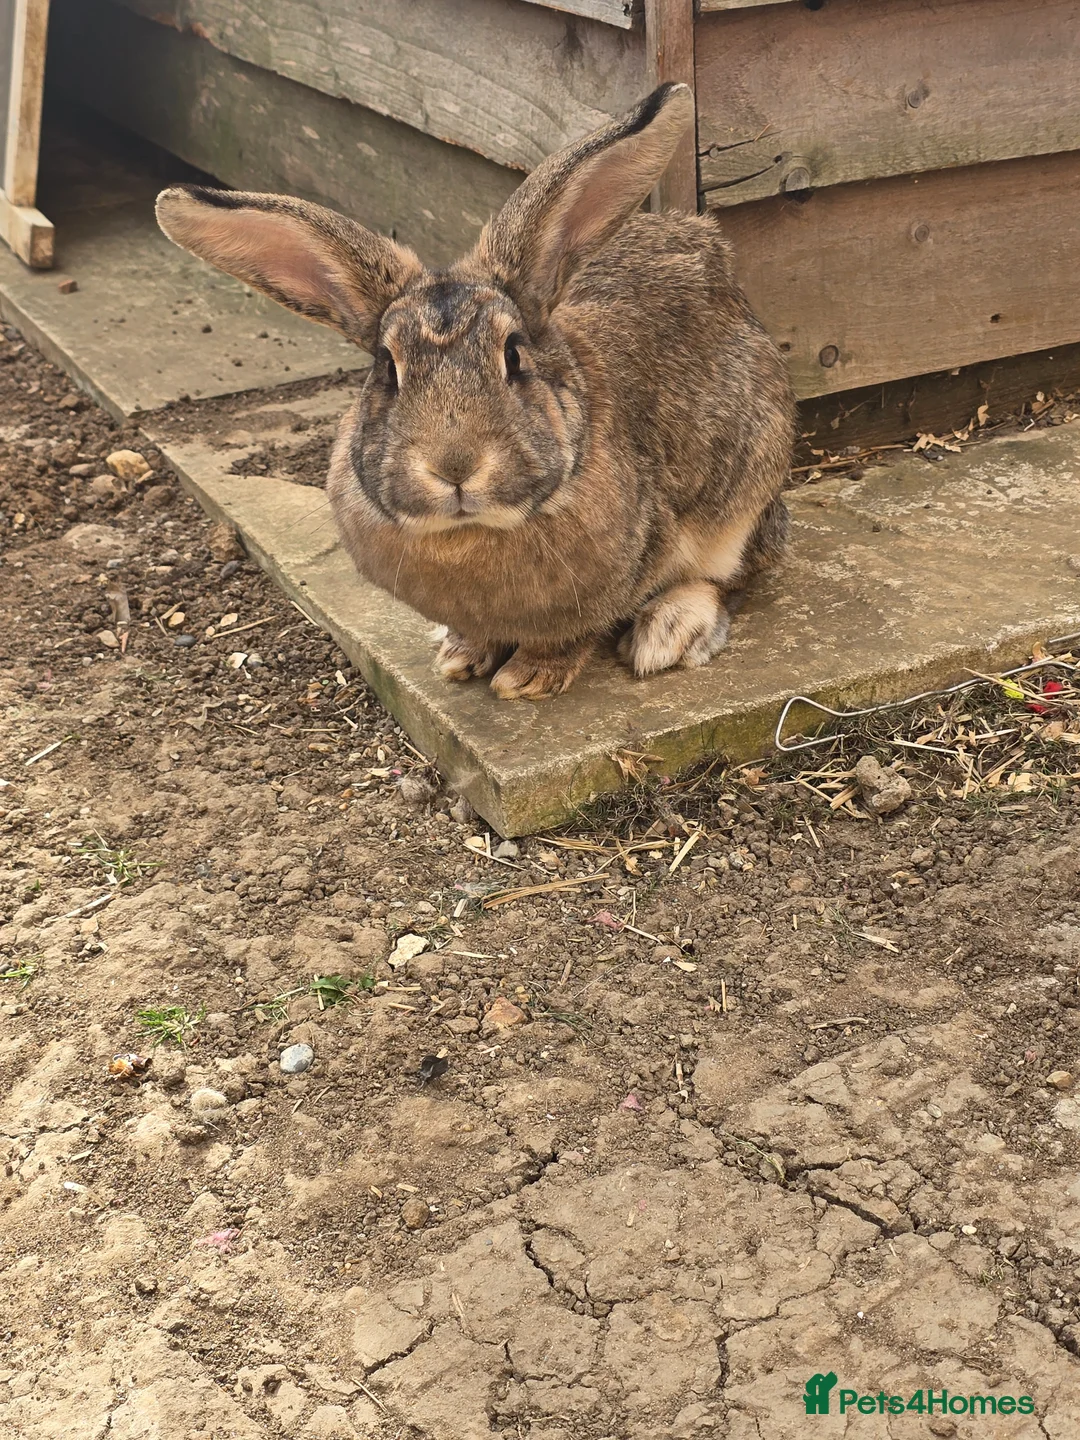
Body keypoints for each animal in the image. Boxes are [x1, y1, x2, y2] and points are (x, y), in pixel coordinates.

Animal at [156, 82, 794, 700]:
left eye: (513, 355)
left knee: (735, 571)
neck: (472, 532)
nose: (455, 466)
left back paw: (667, 633)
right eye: (387, 368)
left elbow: (571, 635)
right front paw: (461, 658)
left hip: (746, 482)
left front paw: (528, 679)